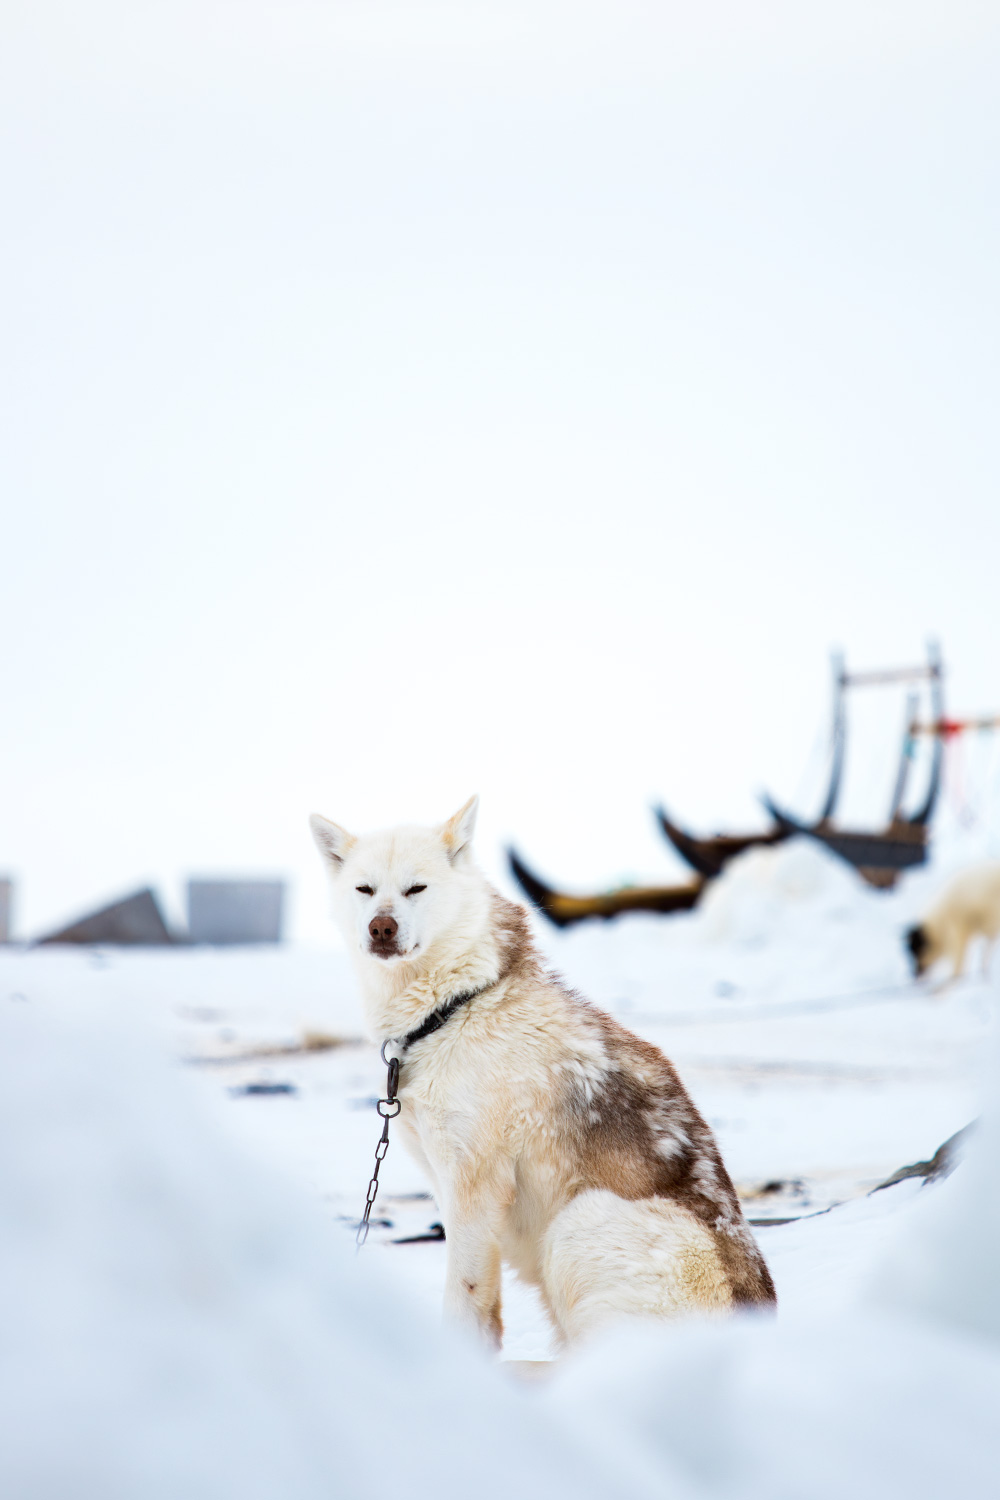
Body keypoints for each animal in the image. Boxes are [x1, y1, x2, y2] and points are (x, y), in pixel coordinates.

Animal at [308, 798, 779, 1350]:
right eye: (364, 890)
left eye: (415, 889)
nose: (381, 927)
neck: (457, 1007)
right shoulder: (447, 1185)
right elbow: (484, 1310)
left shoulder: (476, 1186)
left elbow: (463, 1296)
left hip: (577, 1222)